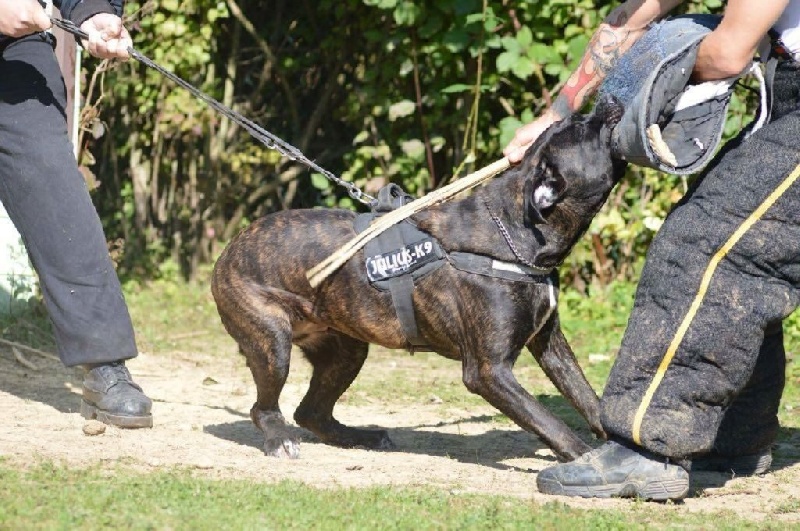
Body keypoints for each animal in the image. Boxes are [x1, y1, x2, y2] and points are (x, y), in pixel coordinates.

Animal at [216, 98, 628, 462]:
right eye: (581, 129)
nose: (607, 99)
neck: (516, 230)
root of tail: (229, 248)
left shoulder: (551, 345)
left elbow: (585, 396)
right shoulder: (488, 371)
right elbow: (548, 421)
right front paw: (584, 457)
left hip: (347, 349)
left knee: (311, 412)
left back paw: (360, 437)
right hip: (272, 345)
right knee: (265, 408)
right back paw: (280, 440)